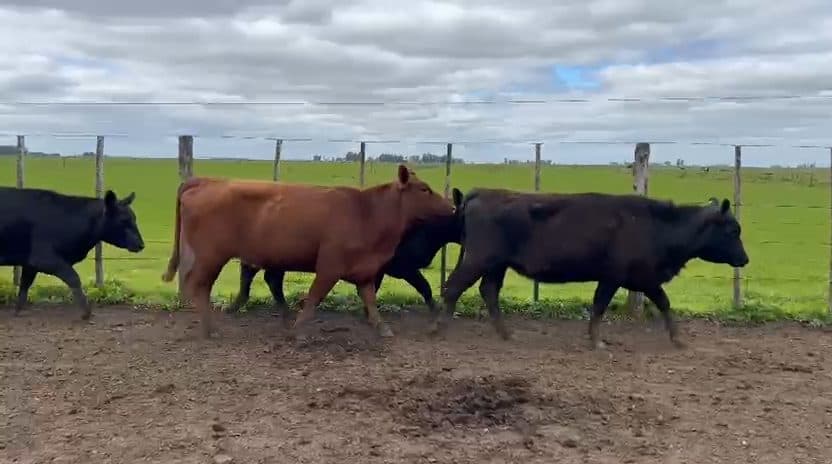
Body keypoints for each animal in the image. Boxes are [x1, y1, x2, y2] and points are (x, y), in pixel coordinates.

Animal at [0, 186, 145, 320]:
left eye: (134, 218)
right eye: (123, 220)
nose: (141, 244)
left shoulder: (30, 263)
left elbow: (25, 284)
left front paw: (18, 310)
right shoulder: (44, 258)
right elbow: (74, 278)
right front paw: (86, 312)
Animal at [430, 189, 749, 349]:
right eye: (733, 230)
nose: (745, 259)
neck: (656, 225)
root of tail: (481, 194)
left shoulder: (644, 279)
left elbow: (664, 303)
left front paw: (678, 338)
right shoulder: (614, 277)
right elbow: (599, 306)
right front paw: (597, 341)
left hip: (497, 265)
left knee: (488, 291)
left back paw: (507, 334)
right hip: (479, 259)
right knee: (454, 286)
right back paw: (440, 329)